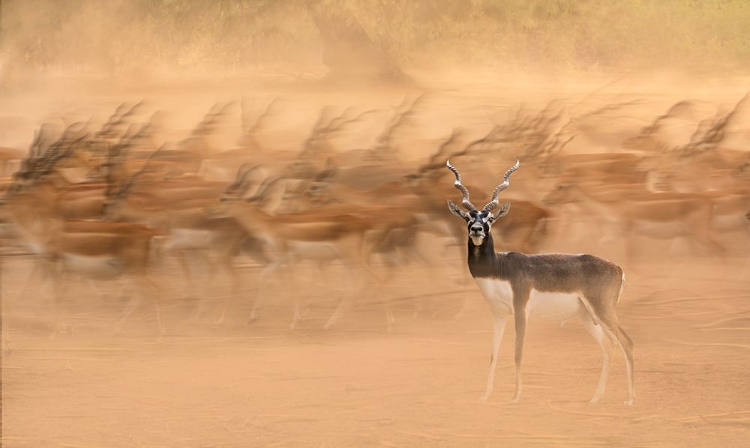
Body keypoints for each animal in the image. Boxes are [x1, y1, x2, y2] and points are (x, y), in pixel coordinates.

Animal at [450, 158, 636, 406]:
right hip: (587, 316)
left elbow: (518, 351)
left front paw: (515, 396)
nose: (477, 230)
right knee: (609, 346)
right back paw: (596, 398)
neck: (499, 267)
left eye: (490, 218)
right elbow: (493, 353)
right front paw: (484, 396)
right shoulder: (498, 314)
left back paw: (630, 399)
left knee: (627, 343)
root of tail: (617, 268)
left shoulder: (521, 310)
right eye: (468, 217)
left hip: (602, 310)